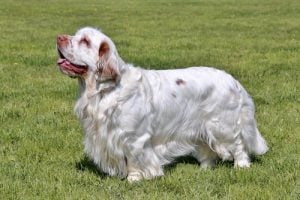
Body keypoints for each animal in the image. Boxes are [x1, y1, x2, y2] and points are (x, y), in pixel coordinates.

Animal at [55, 27, 268, 182]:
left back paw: (241, 166)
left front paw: (133, 180)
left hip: (223, 125)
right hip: (200, 126)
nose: (59, 37)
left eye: (85, 41)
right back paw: (204, 169)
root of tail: (233, 80)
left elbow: (133, 160)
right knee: (208, 149)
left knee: (238, 145)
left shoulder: (134, 138)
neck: (105, 90)